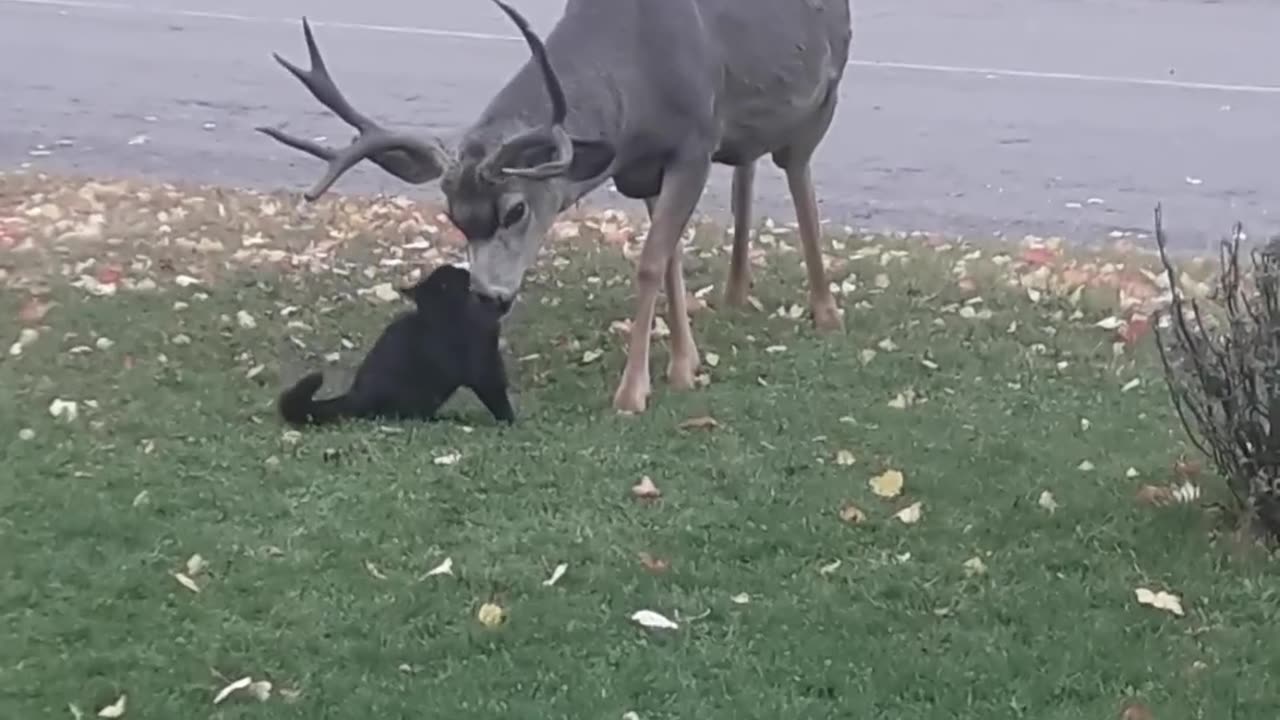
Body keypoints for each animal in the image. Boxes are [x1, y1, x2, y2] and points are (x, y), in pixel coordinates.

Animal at [279, 265, 514, 425]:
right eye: (454, 273)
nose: (465, 270)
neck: (440, 314)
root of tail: (356, 396)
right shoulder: (483, 365)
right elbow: (495, 393)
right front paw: (509, 421)